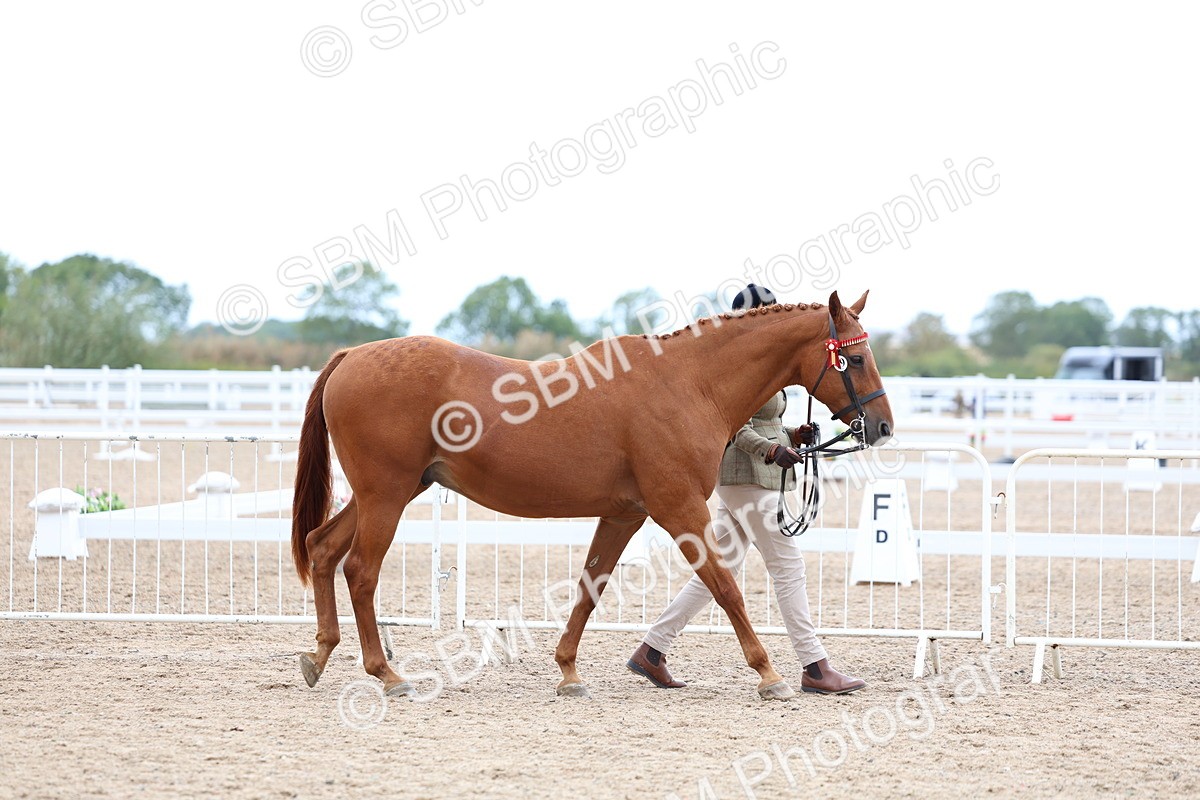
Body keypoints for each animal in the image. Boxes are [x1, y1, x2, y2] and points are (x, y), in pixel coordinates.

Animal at [291, 290, 893, 700]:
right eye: (857, 358)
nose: (883, 426)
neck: (689, 383)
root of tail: (352, 356)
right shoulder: (679, 509)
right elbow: (725, 588)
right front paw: (769, 673)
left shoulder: (625, 515)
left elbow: (589, 587)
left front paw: (568, 671)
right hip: (386, 496)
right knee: (360, 571)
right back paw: (387, 674)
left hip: (389, 492)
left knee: (322, 549)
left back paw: (320, 655)